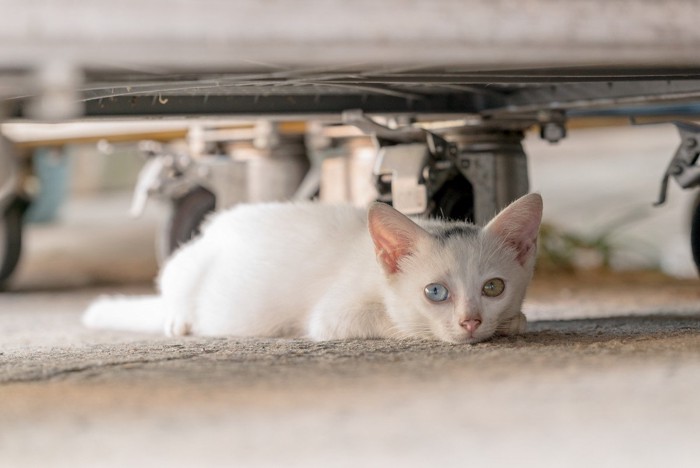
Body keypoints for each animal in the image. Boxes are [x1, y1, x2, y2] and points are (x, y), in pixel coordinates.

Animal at [82, 192, 540, 342]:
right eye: (436, 292)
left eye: (493, 288)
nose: (470, 321)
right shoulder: (332, 315)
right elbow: (391, 323)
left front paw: (512, 320)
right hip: (182, 264)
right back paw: (178, 320)